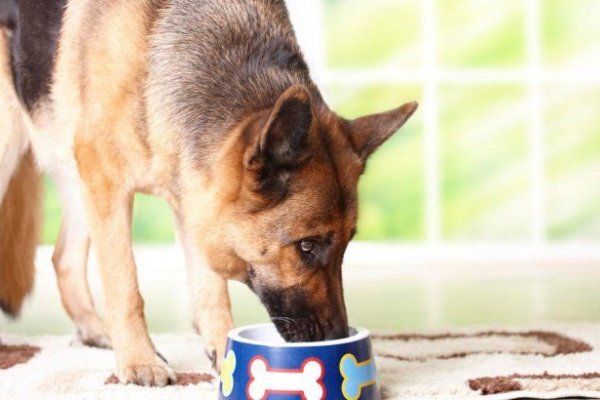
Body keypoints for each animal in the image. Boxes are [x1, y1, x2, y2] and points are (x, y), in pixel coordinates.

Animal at [0, 0, 418, 388]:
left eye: (347, 244)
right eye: (306, 246)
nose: (337, 337)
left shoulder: (195, 194)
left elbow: (211, 289)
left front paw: (222, 350)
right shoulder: (108, 183)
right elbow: (125, 286)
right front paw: (139, 360)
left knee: (63, 258)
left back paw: (95, 330)